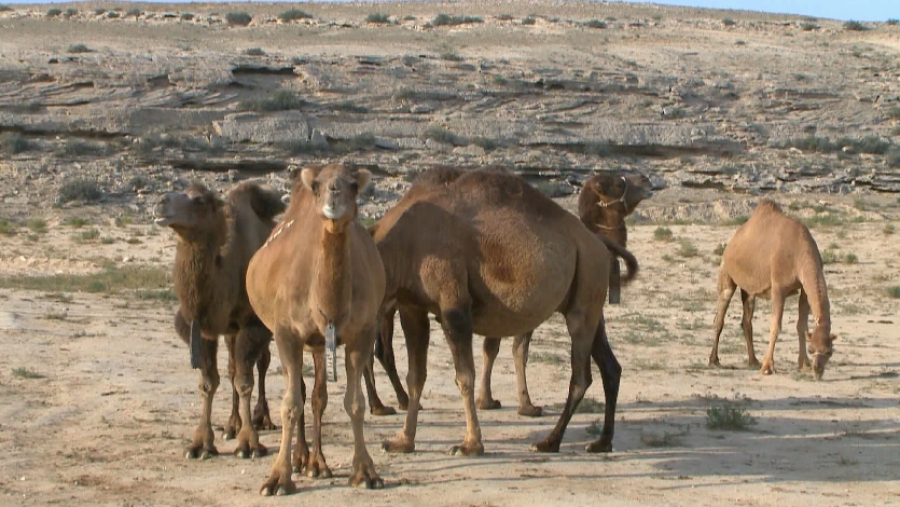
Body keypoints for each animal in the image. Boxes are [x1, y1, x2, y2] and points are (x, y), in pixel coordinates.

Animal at [152, 182, 284, 460]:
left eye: (200, 200)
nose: (161, 201)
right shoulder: (202, 328)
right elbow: (209, 382)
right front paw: (201, 443)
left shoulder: (253, 325)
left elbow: (245, 381)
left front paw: (249, 444)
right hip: (230, 330)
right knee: (233, 366)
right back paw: (232, 424)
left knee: (262, 363)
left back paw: (262, 419)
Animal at [248, 165, 384, 498]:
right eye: (317, 186)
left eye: (353, 185)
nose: (333, 193)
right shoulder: (286, 333)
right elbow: (290, 404)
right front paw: (277, 479)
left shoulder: (361, 334)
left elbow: (355, 403)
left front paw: (365, 472)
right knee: (299, 390)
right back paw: (300, 459)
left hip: (322, 345)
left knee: (318, 396)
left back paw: (316, 463)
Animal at [370, 167, 636, 456]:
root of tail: (598, 244)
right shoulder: (411, 307)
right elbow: (416, 376)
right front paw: (402, 441)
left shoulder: (454, 304)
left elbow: (465, 377)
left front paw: (470, 444)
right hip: (590, 299)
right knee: (610, 368)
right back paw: (602, 441)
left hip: (586, 286)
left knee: (581, 376)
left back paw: (549, 441)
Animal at [712, 200, 836, 380]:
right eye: (812, 349)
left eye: (829, 352)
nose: (817, 371)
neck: (799, 252)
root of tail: (731, 242)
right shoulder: (778, 287)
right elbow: (775, 326)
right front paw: (767, 367)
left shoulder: (804, 289)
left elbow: (801, 325)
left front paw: (804, 364)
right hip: (726, 272)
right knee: (720, 317)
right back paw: (713, 360)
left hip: (749, 288)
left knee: (746, 320)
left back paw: (753, 361)